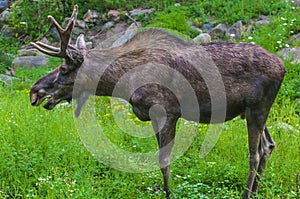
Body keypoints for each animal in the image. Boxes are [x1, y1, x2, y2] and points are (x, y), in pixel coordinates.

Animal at [30, 5, 286, 198]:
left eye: (63, 69)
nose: (34, 92)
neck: (123, 84)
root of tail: (283, 67)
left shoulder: (168, 112)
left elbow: (164, 161)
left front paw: (169, 194)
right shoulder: (153, 117)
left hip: (257, 109)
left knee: (254, 154)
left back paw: (247, 194)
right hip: (254, 111)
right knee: (269, 145)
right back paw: (256, 191)